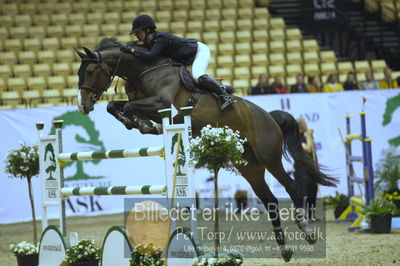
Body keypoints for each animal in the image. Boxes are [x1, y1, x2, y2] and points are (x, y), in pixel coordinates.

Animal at [75, 38, 338, 262]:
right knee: (270, 199)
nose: (83, 105)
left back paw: (307, 230)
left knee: (291, 187)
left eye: (91, 71)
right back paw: (284, 249)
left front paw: (143, 124)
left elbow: (129, 107)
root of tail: (270, 116)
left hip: (268, 156)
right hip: (249, 166)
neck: (143, 69)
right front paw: (140, 124)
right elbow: (114, 106)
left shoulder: (163, 104)